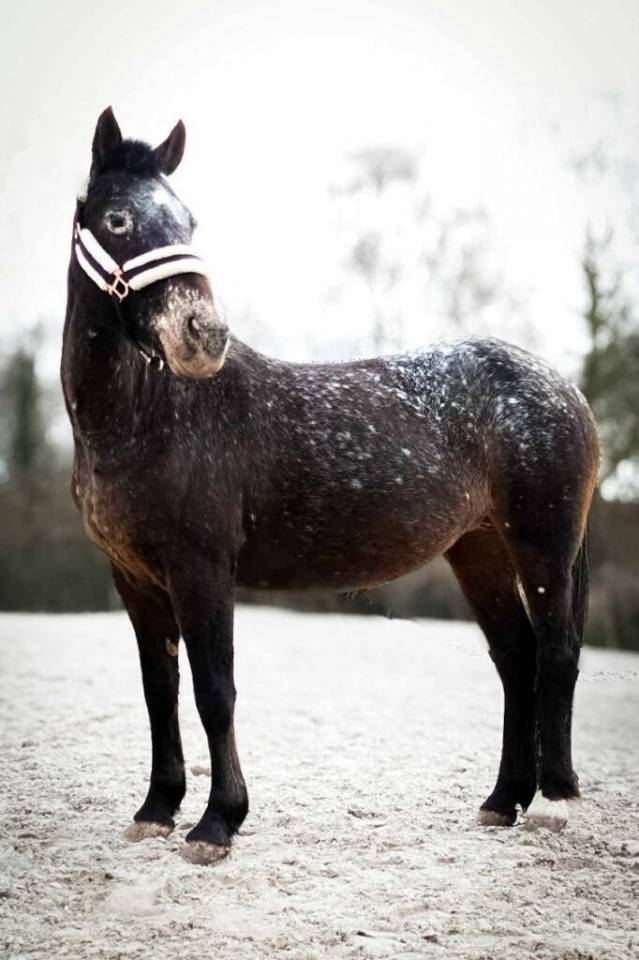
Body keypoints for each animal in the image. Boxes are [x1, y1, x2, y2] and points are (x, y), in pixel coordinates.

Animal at [61, 108, 599, 864]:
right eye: (117, 219)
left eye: (189, 221)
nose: (203, 335)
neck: (150, 413)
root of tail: (559, 384)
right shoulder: (134, 578)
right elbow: (158, 691)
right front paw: (157, 810)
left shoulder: (201, 568)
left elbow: (214, 691)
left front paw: (217, 823)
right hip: (480, 551)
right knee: (516, 658)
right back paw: (502, 801)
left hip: (542, 544)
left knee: (555, 654)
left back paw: (553, 802)